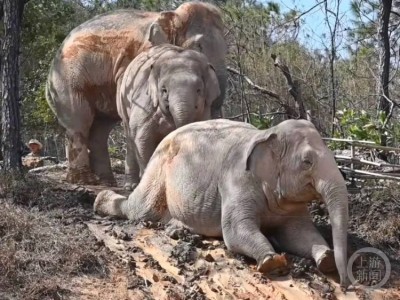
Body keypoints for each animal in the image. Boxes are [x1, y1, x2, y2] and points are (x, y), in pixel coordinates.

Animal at [94, 119, 350, 288]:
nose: (345, 284)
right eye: (307, 162)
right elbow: (234, 232)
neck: (267, 134)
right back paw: (99, 201)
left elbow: (300, 234)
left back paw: (178, 228)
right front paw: (272, 261)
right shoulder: (236, 181)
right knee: (140, 210)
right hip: (158, 168)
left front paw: (326, 260)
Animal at [117, 44, 220, 190]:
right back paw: (130, 186)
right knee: (130, 137)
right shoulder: (145, 103)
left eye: (199, 90)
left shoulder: (204, 111)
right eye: (164, 90)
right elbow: (143, 138)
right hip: (123, 101)